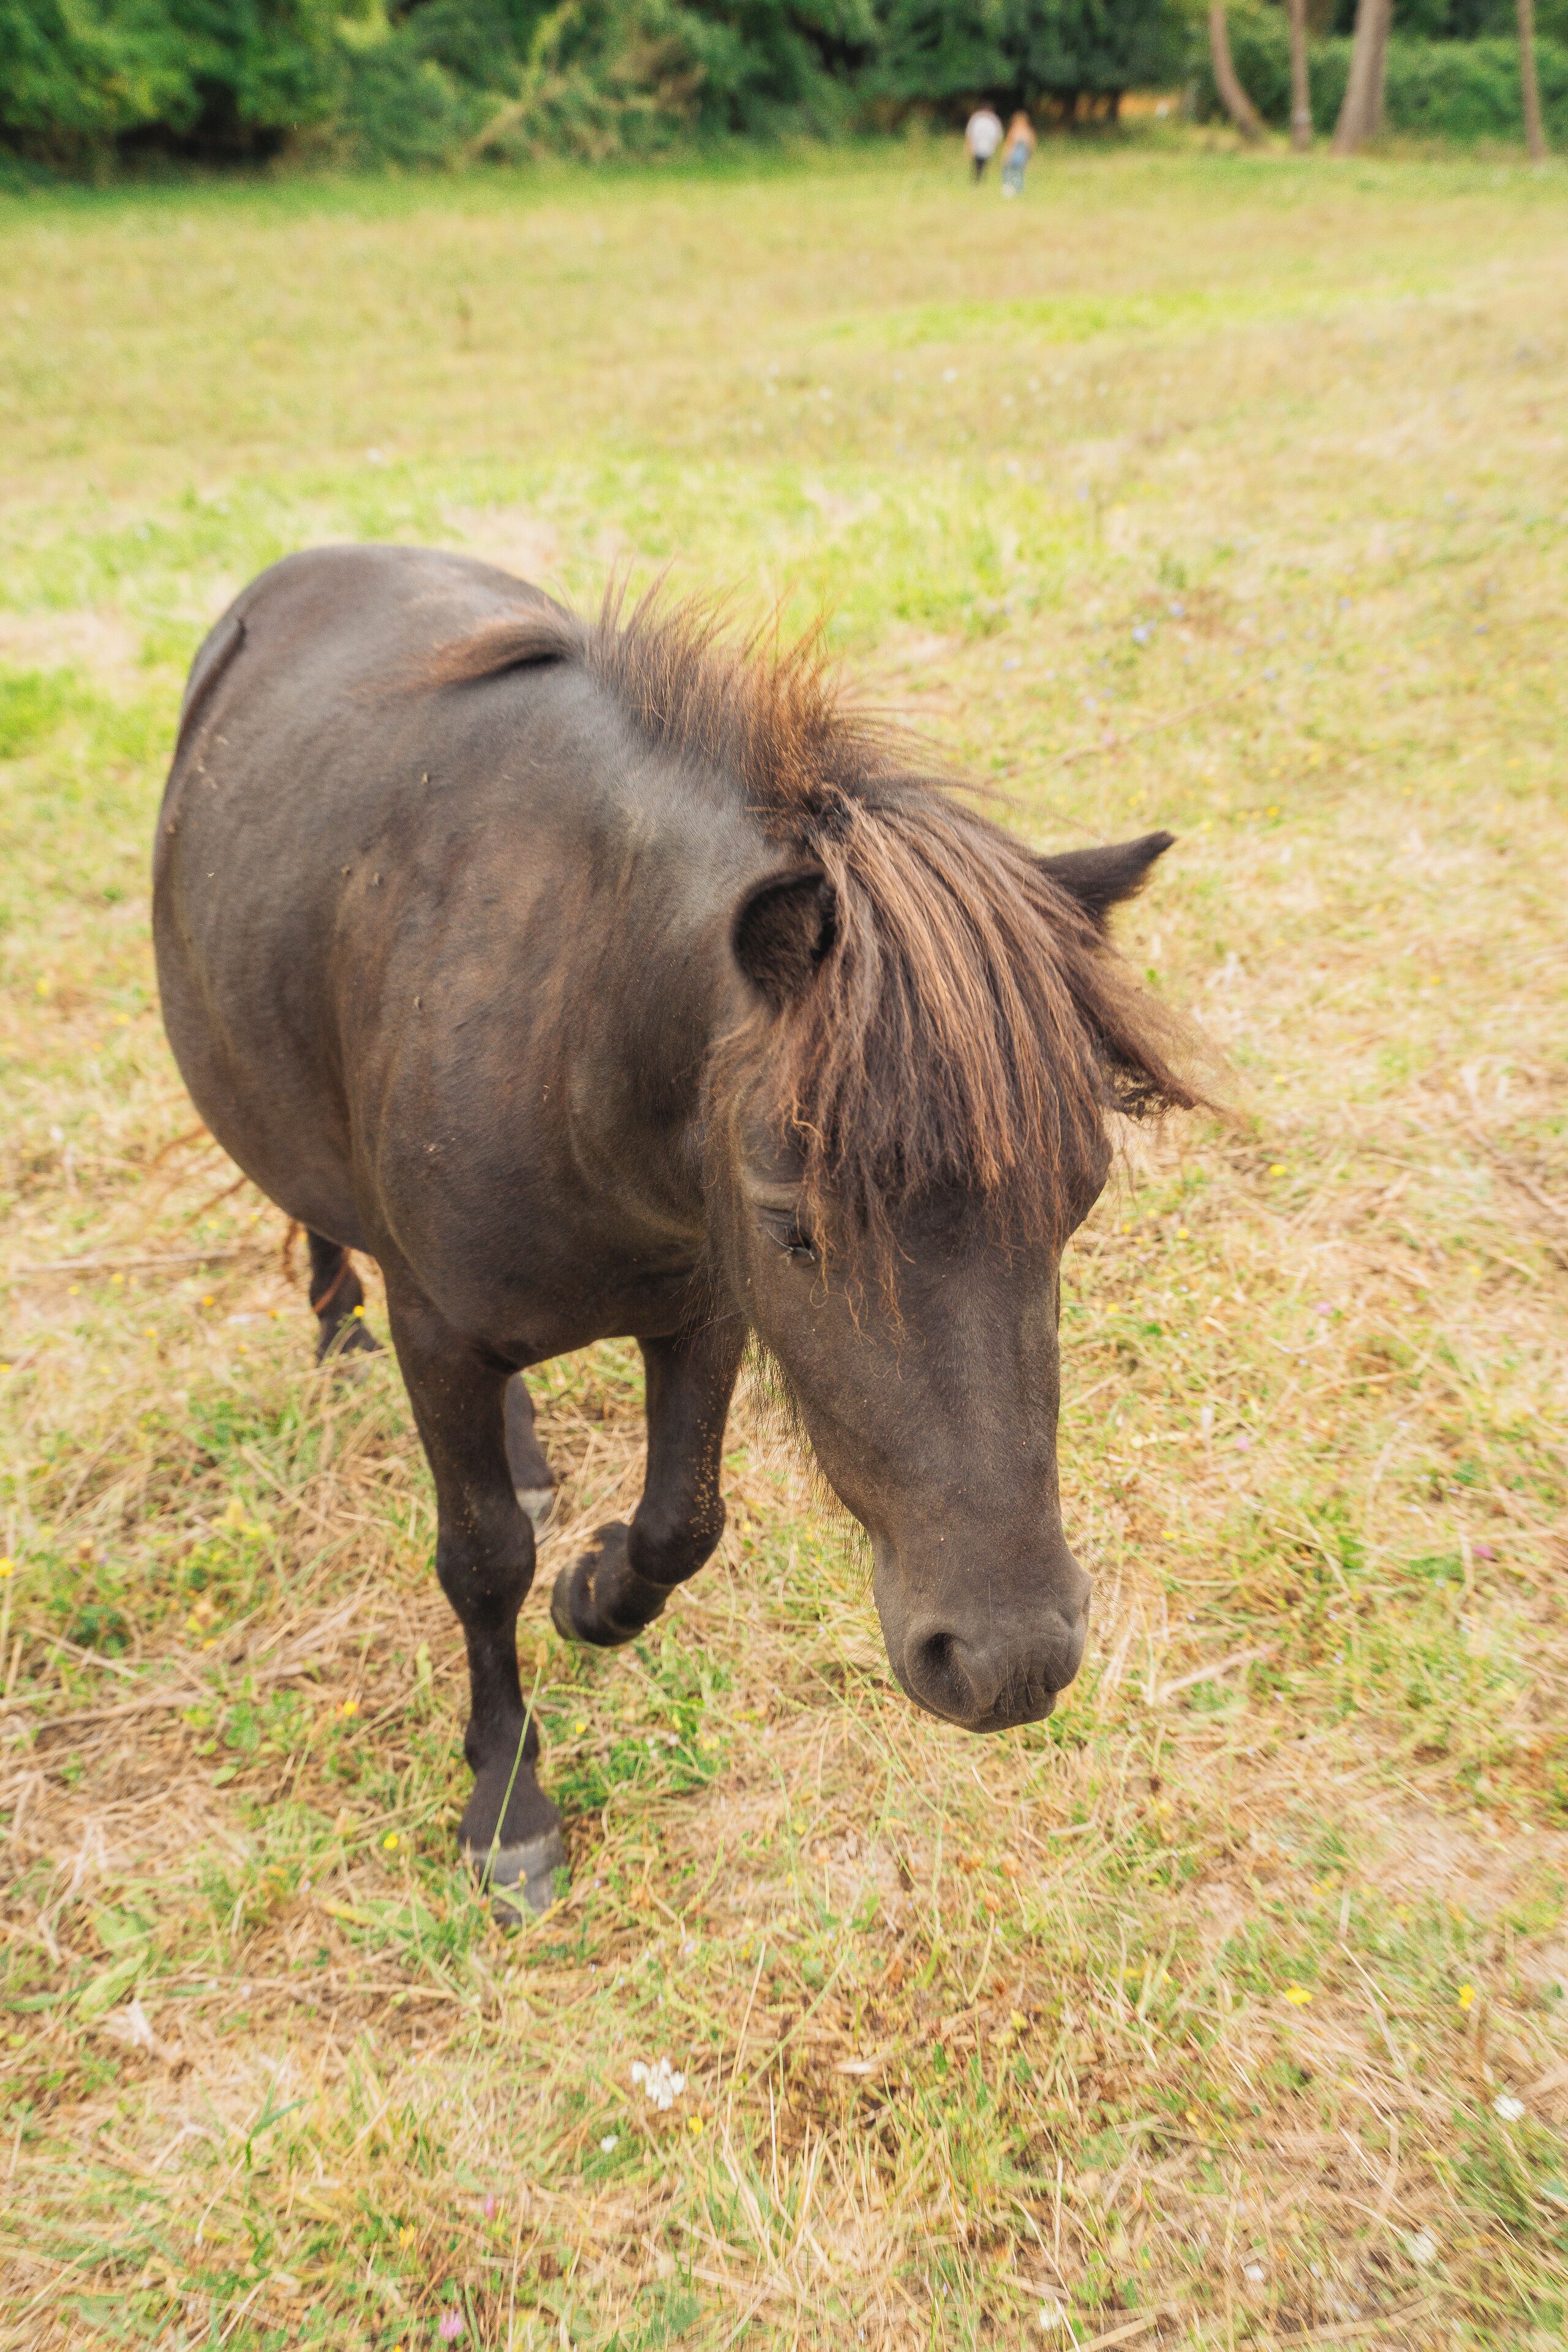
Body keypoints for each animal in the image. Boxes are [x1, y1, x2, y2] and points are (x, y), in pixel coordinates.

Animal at [153, 545, 1198, 1916]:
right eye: (796, 1228)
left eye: (1077, 1204)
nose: (1009, 1658)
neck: (569, 1031)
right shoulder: (447, 1333)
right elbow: (480, 1561)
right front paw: (508, 1801)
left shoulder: (698, 1309)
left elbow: (681, 1525)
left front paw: (595, 1593)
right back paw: (339, 1332)